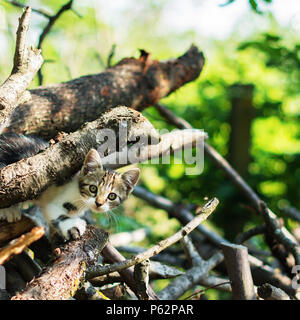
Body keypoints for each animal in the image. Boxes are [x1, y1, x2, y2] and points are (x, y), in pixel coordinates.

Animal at [0, 132, 140, 240]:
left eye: (112, 196)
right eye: (93, 188)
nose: (99, 203)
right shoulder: (52, 200)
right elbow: (56, 212)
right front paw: (73, 226)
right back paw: (9, 210)